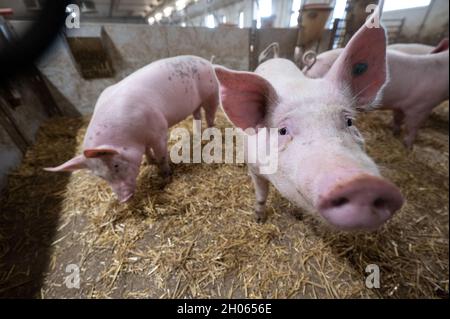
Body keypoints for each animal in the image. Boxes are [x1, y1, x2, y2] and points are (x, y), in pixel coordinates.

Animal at [45, 55, 220, 202]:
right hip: (196, 103)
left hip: (211, 93)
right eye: (101, 176)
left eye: (116, 165)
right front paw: (149, 161)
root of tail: (206, 61)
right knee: (197, 115)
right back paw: (197, 135)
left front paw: (166, 175)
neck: (130, 138)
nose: (124, 199)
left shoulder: (159, 132)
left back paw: (211, 137)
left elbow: (162, 156)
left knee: (210, 116)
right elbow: (147, 151)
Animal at [214, 8, 404, 232]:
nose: (363, 184)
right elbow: (261, 194)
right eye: (283, 130)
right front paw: (259, 218)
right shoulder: (254, 167)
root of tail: (276, 57)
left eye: (349, 121)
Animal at [304, 39, 448, 148]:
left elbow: (398, 119)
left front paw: (395, 133)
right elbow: (412, 127)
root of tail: (313, 61)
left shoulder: (401, 105)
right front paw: (408, 147)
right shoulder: (421, 106)